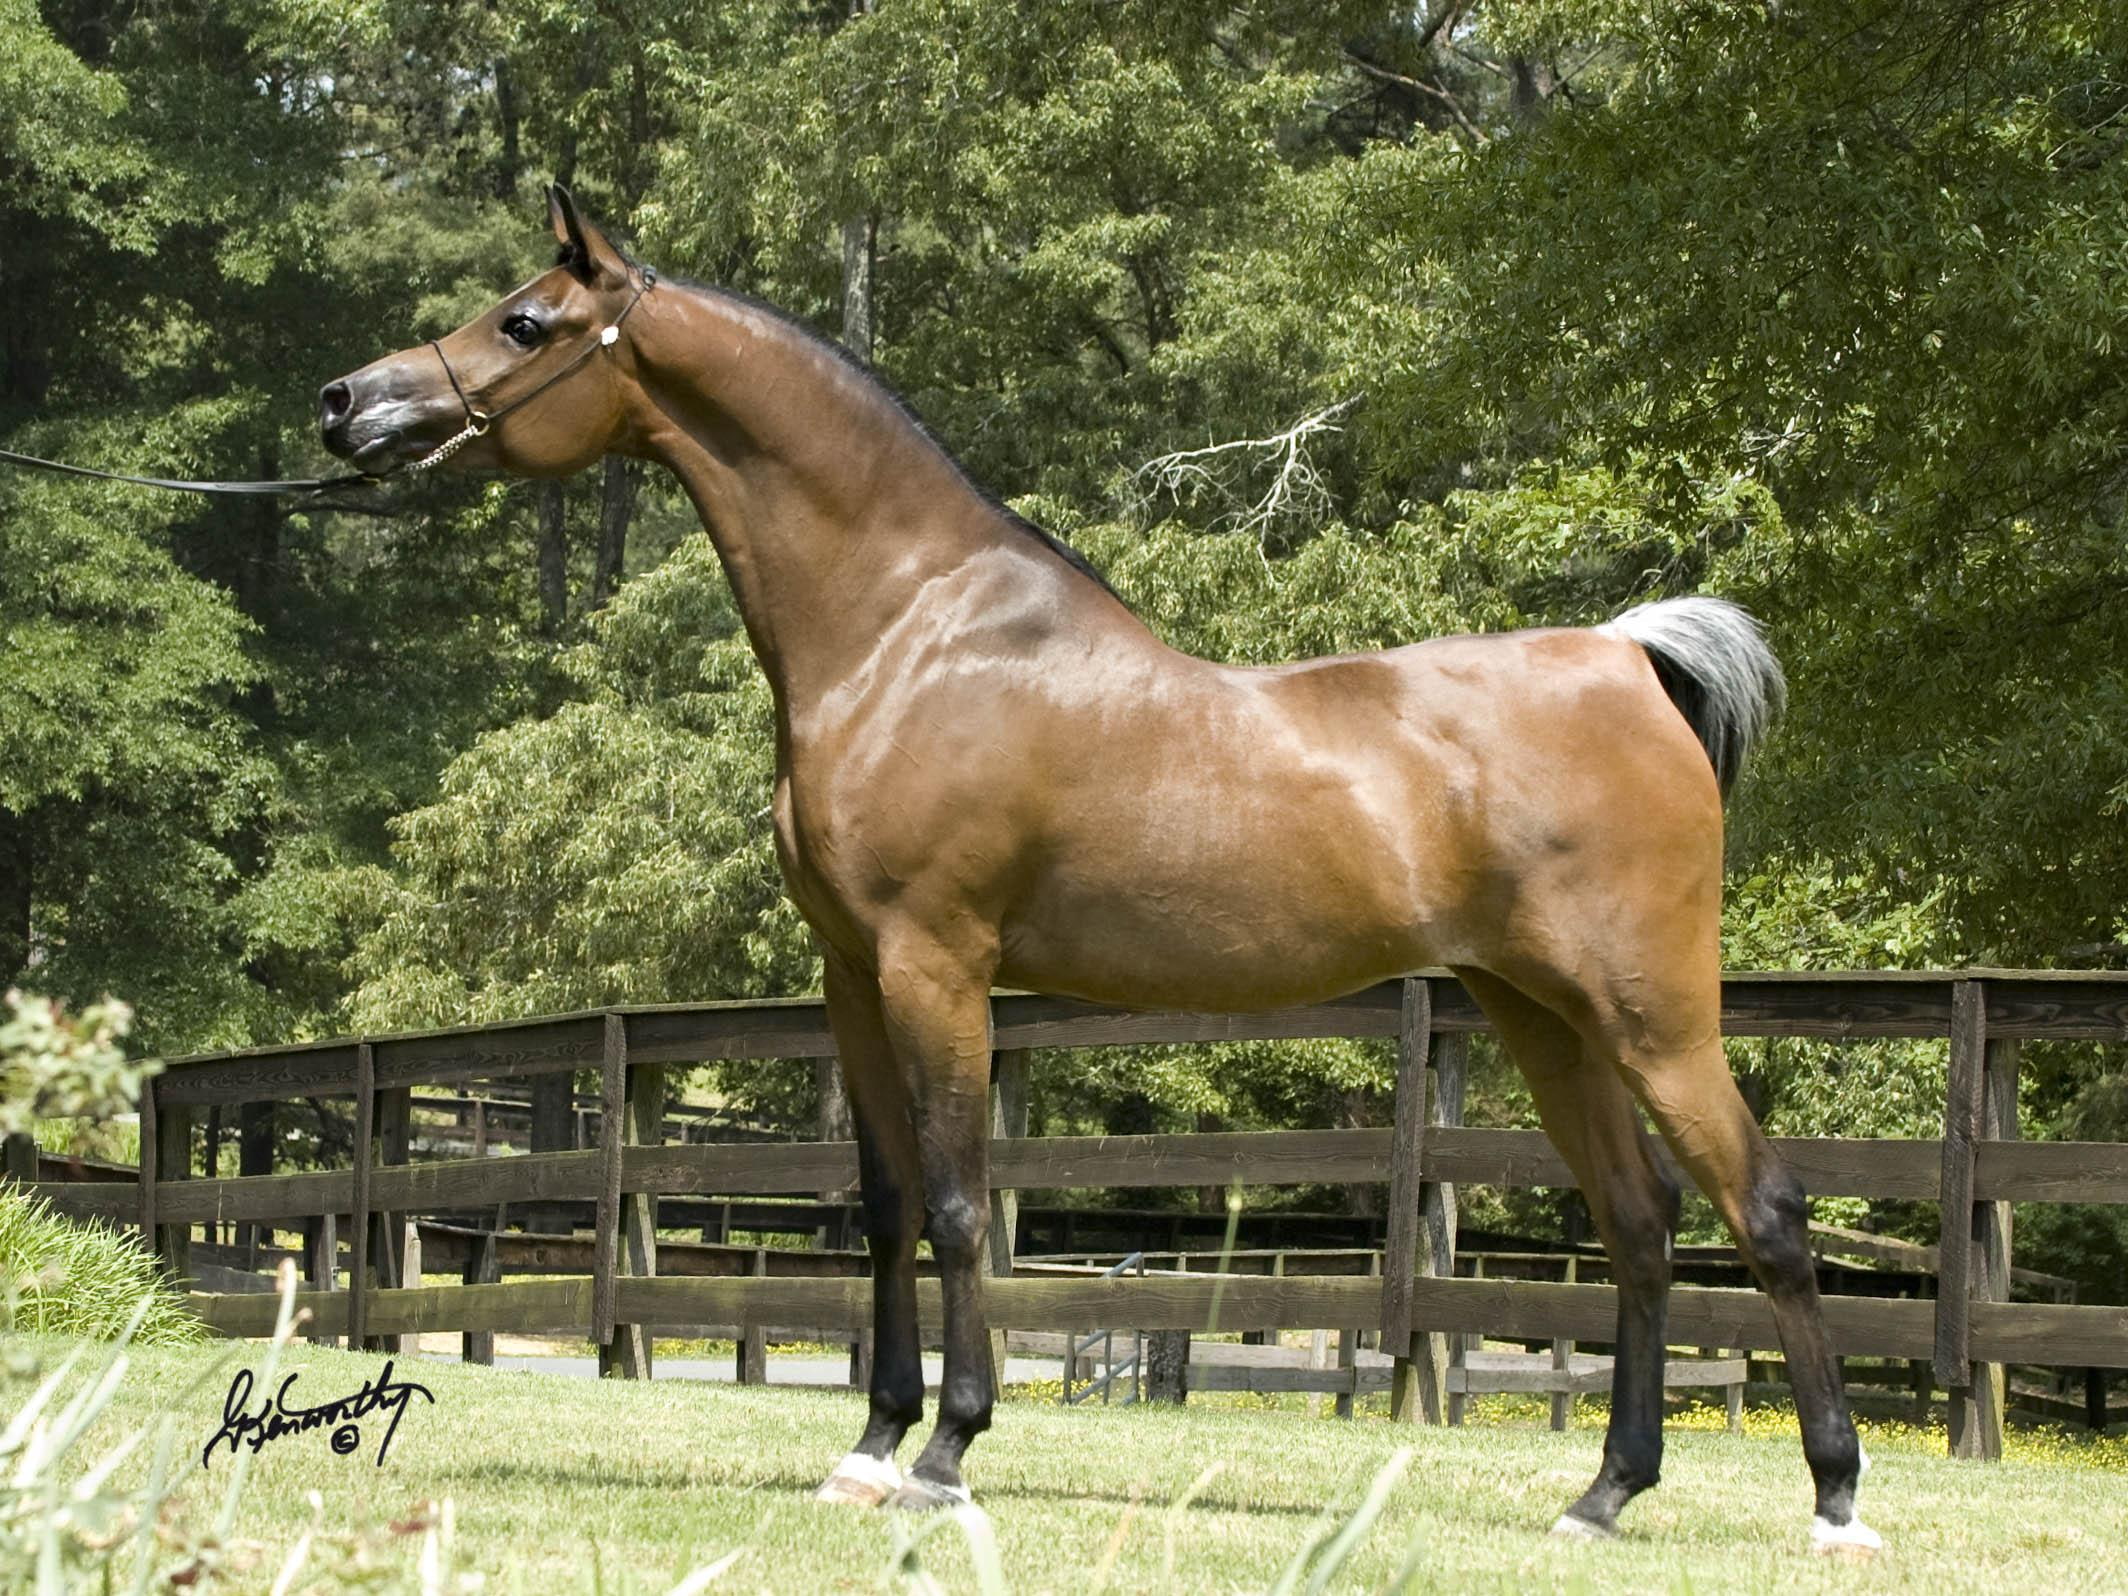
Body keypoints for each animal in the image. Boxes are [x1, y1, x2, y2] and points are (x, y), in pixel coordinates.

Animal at [320, 185, 1878, 1553]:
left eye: (524, 321)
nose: (347, 403)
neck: (908, 630)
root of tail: (1624, 656)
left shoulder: (937, 964)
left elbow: (960, 1204)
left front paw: (948, 1454)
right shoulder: (849, 975)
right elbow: (885, 1205)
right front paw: (869, 1447)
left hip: (1653, 1013)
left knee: (1766, 1212)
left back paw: (1836, 1501)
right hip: (1541, 1015)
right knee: (1642, 1228)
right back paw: (1603, 1497)